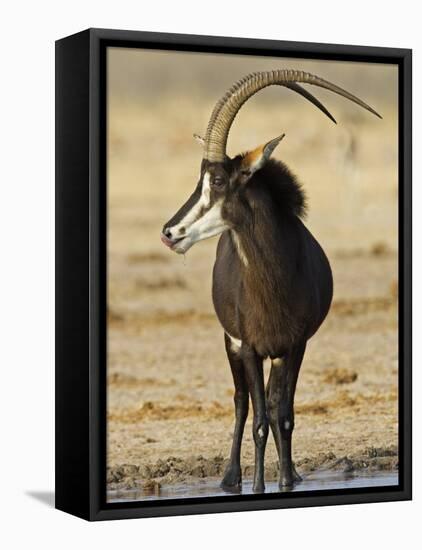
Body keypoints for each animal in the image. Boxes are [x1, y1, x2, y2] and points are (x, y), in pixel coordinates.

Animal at [161, 70, 380, 492]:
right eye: (199, 180)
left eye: (217, 180)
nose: (169, 232)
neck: (273, 281)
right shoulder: (248, 348)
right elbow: (259, 419)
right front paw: (259, 486)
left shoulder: (294, 346)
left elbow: (284, 415)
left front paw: (286, 482)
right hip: (232, 345)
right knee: (243, 401)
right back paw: (231, 477)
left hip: (275, 353)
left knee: (275, 403)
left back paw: (289, 471)